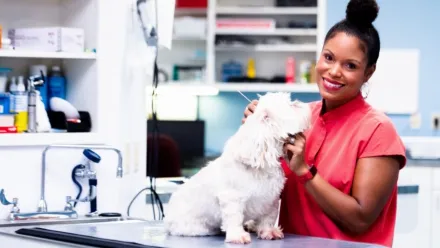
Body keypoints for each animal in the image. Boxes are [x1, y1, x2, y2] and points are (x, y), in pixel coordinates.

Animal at [163, 91, 312, 244]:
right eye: (292, 105)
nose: (303, 104)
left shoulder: (271, 200)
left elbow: (268, 218)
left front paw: (269, 231)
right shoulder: (232, 199)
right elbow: (234, 218)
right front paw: (237, 235)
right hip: (193, 227)